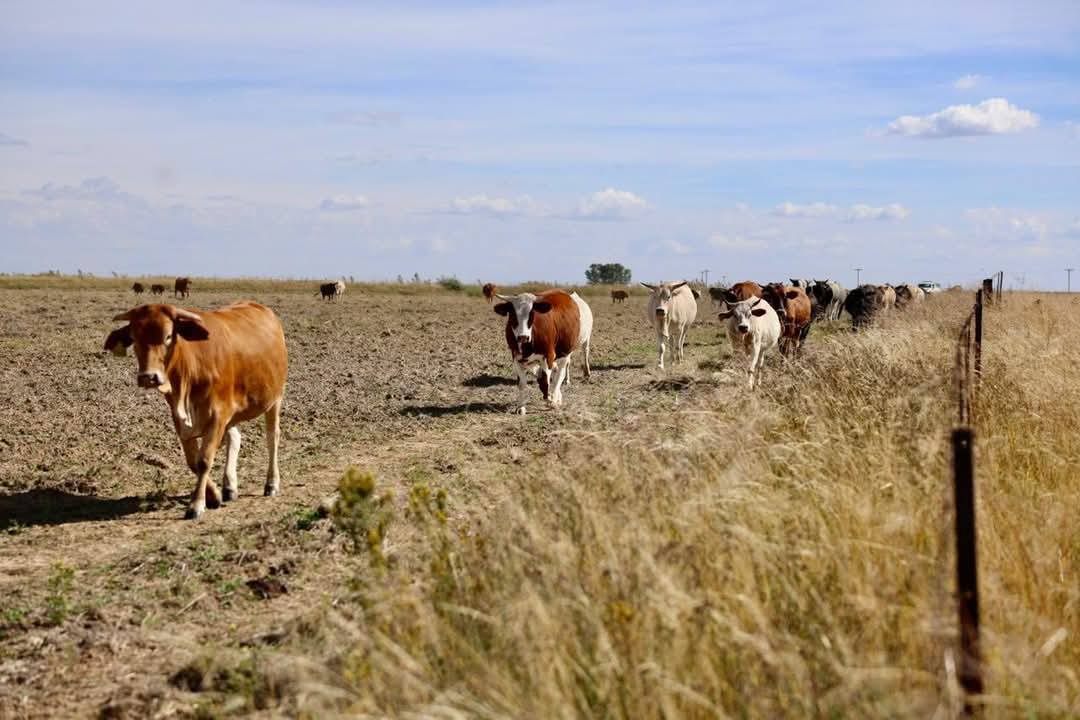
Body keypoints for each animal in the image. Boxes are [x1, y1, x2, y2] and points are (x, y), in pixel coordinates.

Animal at [104, 302, 288, 520]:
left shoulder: (218, 415)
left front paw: (196, 504)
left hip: (275, 398)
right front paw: (214, 495)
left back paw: (271, 483)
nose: (149, 377)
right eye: (134, 338)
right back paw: (229, 486)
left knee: (272, 438)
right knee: (235, 437)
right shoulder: (181, 419)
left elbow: (204, 460)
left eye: (168, 336)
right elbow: (193, 461)